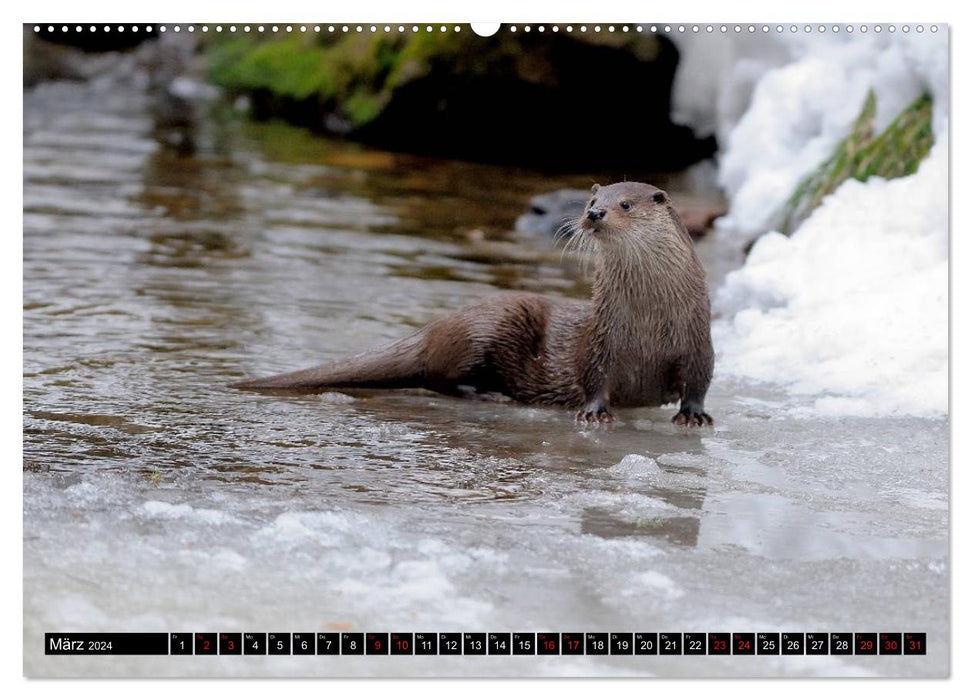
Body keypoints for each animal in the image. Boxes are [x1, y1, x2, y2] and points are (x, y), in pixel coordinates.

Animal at [233, 180, 716, 426]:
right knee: (439, 376)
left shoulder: (698, 340)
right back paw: (491, 395)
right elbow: (594, 377)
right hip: (487, 328)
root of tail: (436, 326)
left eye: (627, 204)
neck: (649, 318)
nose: (594, 214)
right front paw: (595, 413)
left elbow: (698, 381)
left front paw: (693, 415)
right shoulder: (602, 338)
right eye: (592, 200)